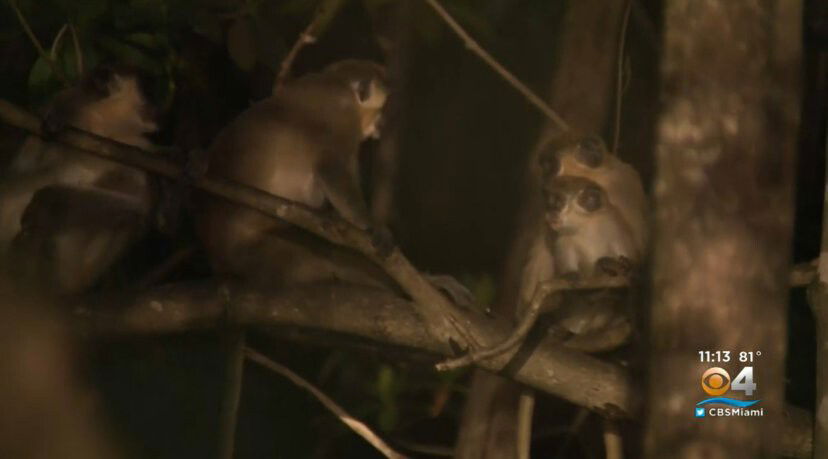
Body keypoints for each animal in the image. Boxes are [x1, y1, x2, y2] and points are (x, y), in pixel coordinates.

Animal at [0, 64, 158, 292]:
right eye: (148, 92)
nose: (158, 109)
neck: (104, 128)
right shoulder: (65, 105)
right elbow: (20, 170)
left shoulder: (140, 149)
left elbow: (139, 206)